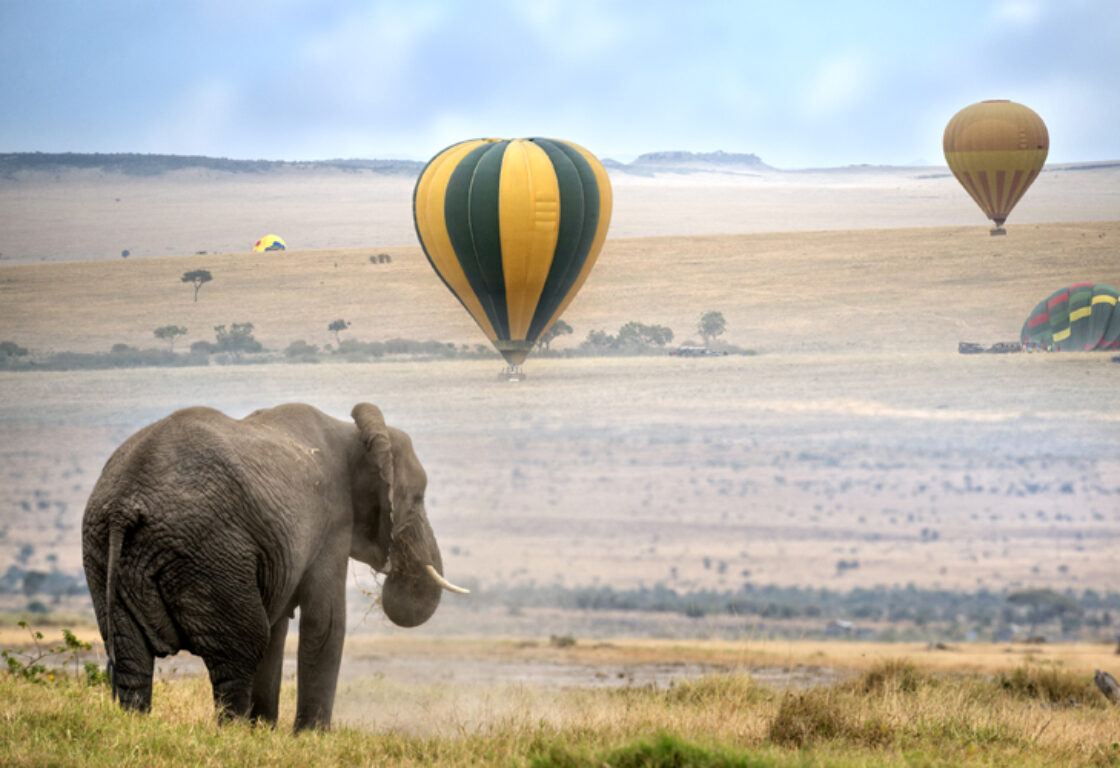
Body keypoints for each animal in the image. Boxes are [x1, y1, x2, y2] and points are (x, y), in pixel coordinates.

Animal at [81, 402, 467, 731]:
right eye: (417, 498)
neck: (353, 432)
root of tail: (124, 505)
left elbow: (279, 625)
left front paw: (264, 731)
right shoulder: (332, 521)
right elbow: (324, 622)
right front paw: (310, 737)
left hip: (104, 554)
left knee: (130, 656)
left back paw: (136, 725)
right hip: (209, 552)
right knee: (241, 646)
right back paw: (231, 732)